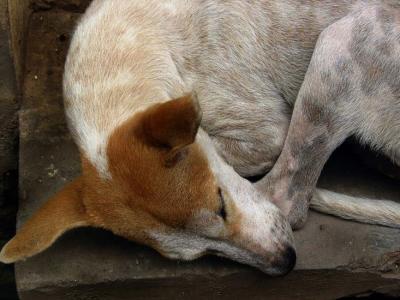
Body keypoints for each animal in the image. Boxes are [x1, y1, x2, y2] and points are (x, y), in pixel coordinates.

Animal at [0, 0, 398, 276]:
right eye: (204, 253)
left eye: (221, 202)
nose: (286, 263)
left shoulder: (265, 133)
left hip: (340, 44)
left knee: (289, 198)